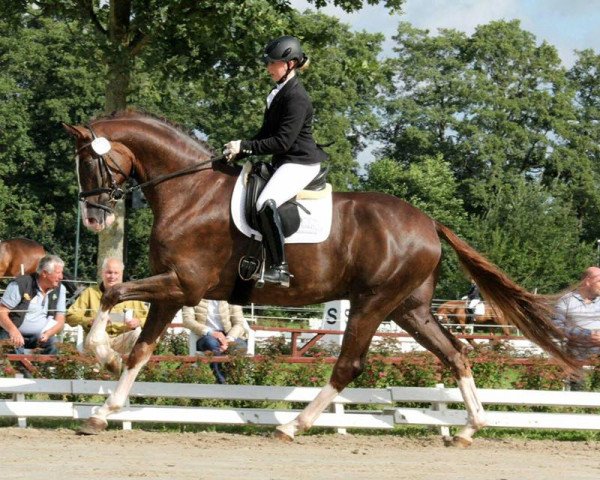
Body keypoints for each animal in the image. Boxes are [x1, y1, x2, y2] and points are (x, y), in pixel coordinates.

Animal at [63, 111, 580, 446]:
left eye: (89, 162)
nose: (91, 218)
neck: (189, 192)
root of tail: (428, 222)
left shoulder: (182, 284)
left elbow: (112, 292)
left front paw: (101, 358)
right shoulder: (173, 290)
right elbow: (142, 348)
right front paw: (104, 408)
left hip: (372, 304)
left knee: (349, 364)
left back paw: (292, 426)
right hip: (410, 309)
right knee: (456, 354)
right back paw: (470, 429)